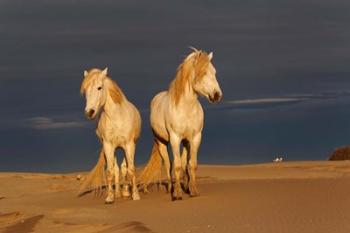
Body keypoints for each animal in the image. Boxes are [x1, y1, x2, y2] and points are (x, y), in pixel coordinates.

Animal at [79, 68, 141, 204]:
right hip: (115, 149)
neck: (117, 117)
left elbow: (131, 169)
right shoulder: (108, 146)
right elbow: (110, 171)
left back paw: (126, 192)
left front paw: (135, 195)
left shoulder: (129, 145)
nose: (89, 112)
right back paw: (118, 193)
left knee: (124, 167)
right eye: (85, 91)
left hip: (126, 147)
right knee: (117, 169)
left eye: (99, 87)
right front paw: (110, 197)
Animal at [139, 49, 221, 200]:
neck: (186, 108)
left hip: (186, 142)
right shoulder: (175, 139)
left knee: (184, 164)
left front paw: (193, 190)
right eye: (203, 72)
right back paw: (171, 188)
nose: (217, 95)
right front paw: (177, 194)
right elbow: (176, 166)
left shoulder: (195, 138)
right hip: (162, 143)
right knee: (168, 165)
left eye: (214, 72)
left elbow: (191, 165)